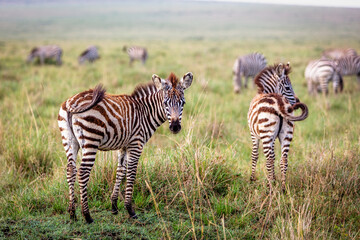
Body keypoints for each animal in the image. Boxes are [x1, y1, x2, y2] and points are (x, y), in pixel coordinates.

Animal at [58, 71, 194, 223]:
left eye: (183, 103)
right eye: (165, 103)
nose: (175, 127)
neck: (145, 112)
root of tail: (71, 103)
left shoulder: (123, 145)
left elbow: (120, 171)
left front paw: (114, 206)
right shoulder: (136, 144)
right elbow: (131, 173)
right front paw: (130, 209)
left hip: (69, 141)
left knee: (71, 170)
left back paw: (72, 213)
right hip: (91, 140)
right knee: (83, 172)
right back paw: (87, 215)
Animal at [248, 62, 310, 192]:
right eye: (288, 88)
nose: (297, 102)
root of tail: (279, 102)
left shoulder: (253, 134)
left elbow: (255, 155)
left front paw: (252, 180)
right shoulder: (272, 136)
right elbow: (274, 155)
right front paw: (274, 179)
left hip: (266, 134)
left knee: (269, 159)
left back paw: (270, 188)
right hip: (286, 133)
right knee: (284, 159)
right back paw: (282, 187)